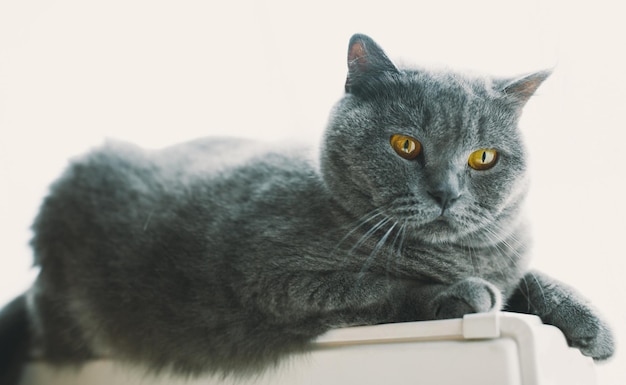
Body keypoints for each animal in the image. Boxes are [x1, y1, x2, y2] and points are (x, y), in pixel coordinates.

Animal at [0, 33, 616, 380]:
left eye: (483, 157)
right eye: (405, 145)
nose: (446, 193)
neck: (458, 253)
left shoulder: (508, 255)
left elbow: (529, 275)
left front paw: (593, 326)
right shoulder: (276, 280)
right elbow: (381, 287)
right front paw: (460, 294)